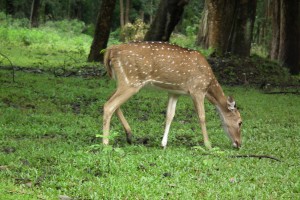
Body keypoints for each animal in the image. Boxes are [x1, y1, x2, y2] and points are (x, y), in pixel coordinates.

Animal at [102, 41, 241, 148]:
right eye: (240, 122)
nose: (239, 144)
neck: (209, 85)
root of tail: (111, 50)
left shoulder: (174, 92)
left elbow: (169, 115)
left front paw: (163, 144)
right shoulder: (197, 90)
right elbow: (202, 116)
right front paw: (208, 144)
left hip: (122, 81)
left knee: (110, 100)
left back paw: (129, 135)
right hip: (131, 81)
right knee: (109, 105)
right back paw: (105, 142)